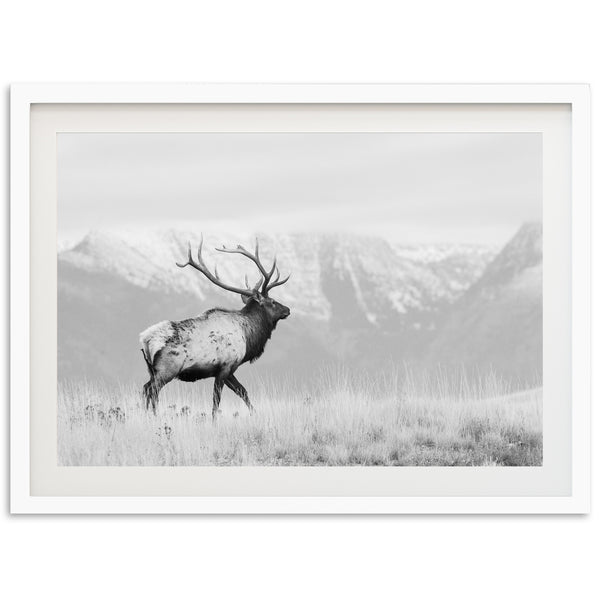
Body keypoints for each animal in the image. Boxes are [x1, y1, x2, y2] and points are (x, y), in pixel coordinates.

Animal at [139, 234, 292, 418]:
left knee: (146, 388)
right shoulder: (225, 366)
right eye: (273, 301)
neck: (248, 336)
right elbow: (216, 401)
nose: (288, 309)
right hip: (167, 369)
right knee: (151, 390)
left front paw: (254, 414)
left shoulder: (229, 370)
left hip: (152, 370)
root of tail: (145, 340)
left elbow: (243, 392)